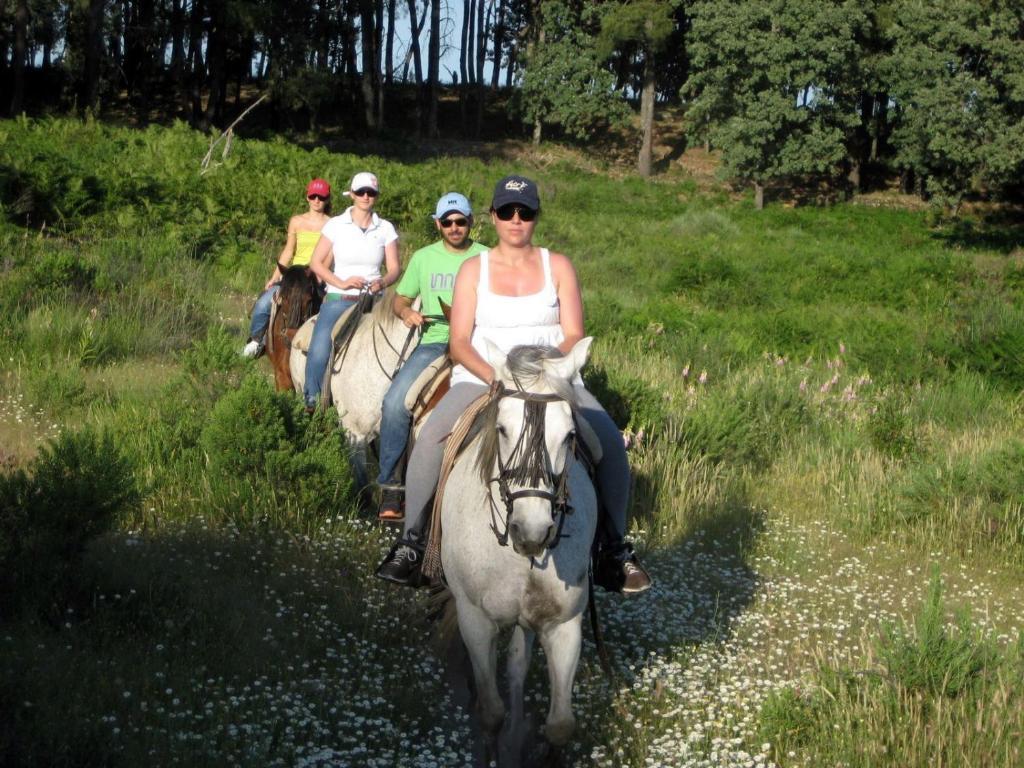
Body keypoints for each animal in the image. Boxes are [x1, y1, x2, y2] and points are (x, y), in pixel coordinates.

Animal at [438, 342, 593, 768]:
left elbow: (560, 724)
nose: (533, 532)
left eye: (570, 435)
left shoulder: (564, 624)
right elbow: (490, 711)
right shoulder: (474, 619)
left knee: (518, 665)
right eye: (502, 429)